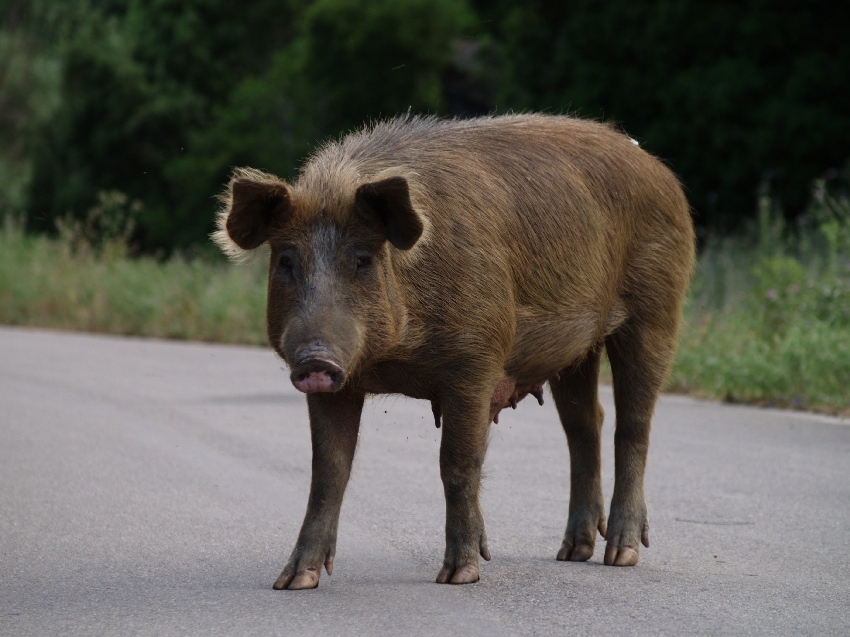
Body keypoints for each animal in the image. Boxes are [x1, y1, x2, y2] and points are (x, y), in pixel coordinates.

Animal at [214, 113, 696, 588]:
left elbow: (458, 463)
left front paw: (459, 574)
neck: (392, 358)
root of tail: (660, 170)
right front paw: (293, 581)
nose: (316, 359)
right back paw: (572, 553)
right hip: (577, 349)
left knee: (633, 425)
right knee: (585, 425)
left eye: (363, 259)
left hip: (657, 308)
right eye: (286, 261)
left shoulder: (475, 361)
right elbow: (328, 470)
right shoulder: (341, 385)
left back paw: (621, 555)